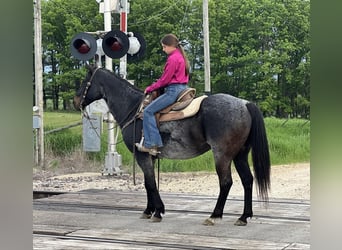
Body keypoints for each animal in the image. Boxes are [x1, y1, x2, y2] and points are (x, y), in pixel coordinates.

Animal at [73, 65, 272, 227]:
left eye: (85, 81)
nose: (75, 101)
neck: (134, 109)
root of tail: (244, 104)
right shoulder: (149, 156)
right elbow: (149, 183)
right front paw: (149, 210)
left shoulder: (142, 155)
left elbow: (150, 183)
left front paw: (158, 211)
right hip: (240, 155)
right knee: (247, 180)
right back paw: (243, 217)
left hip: (222, 155)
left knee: (226, 182)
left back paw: (214, 216)